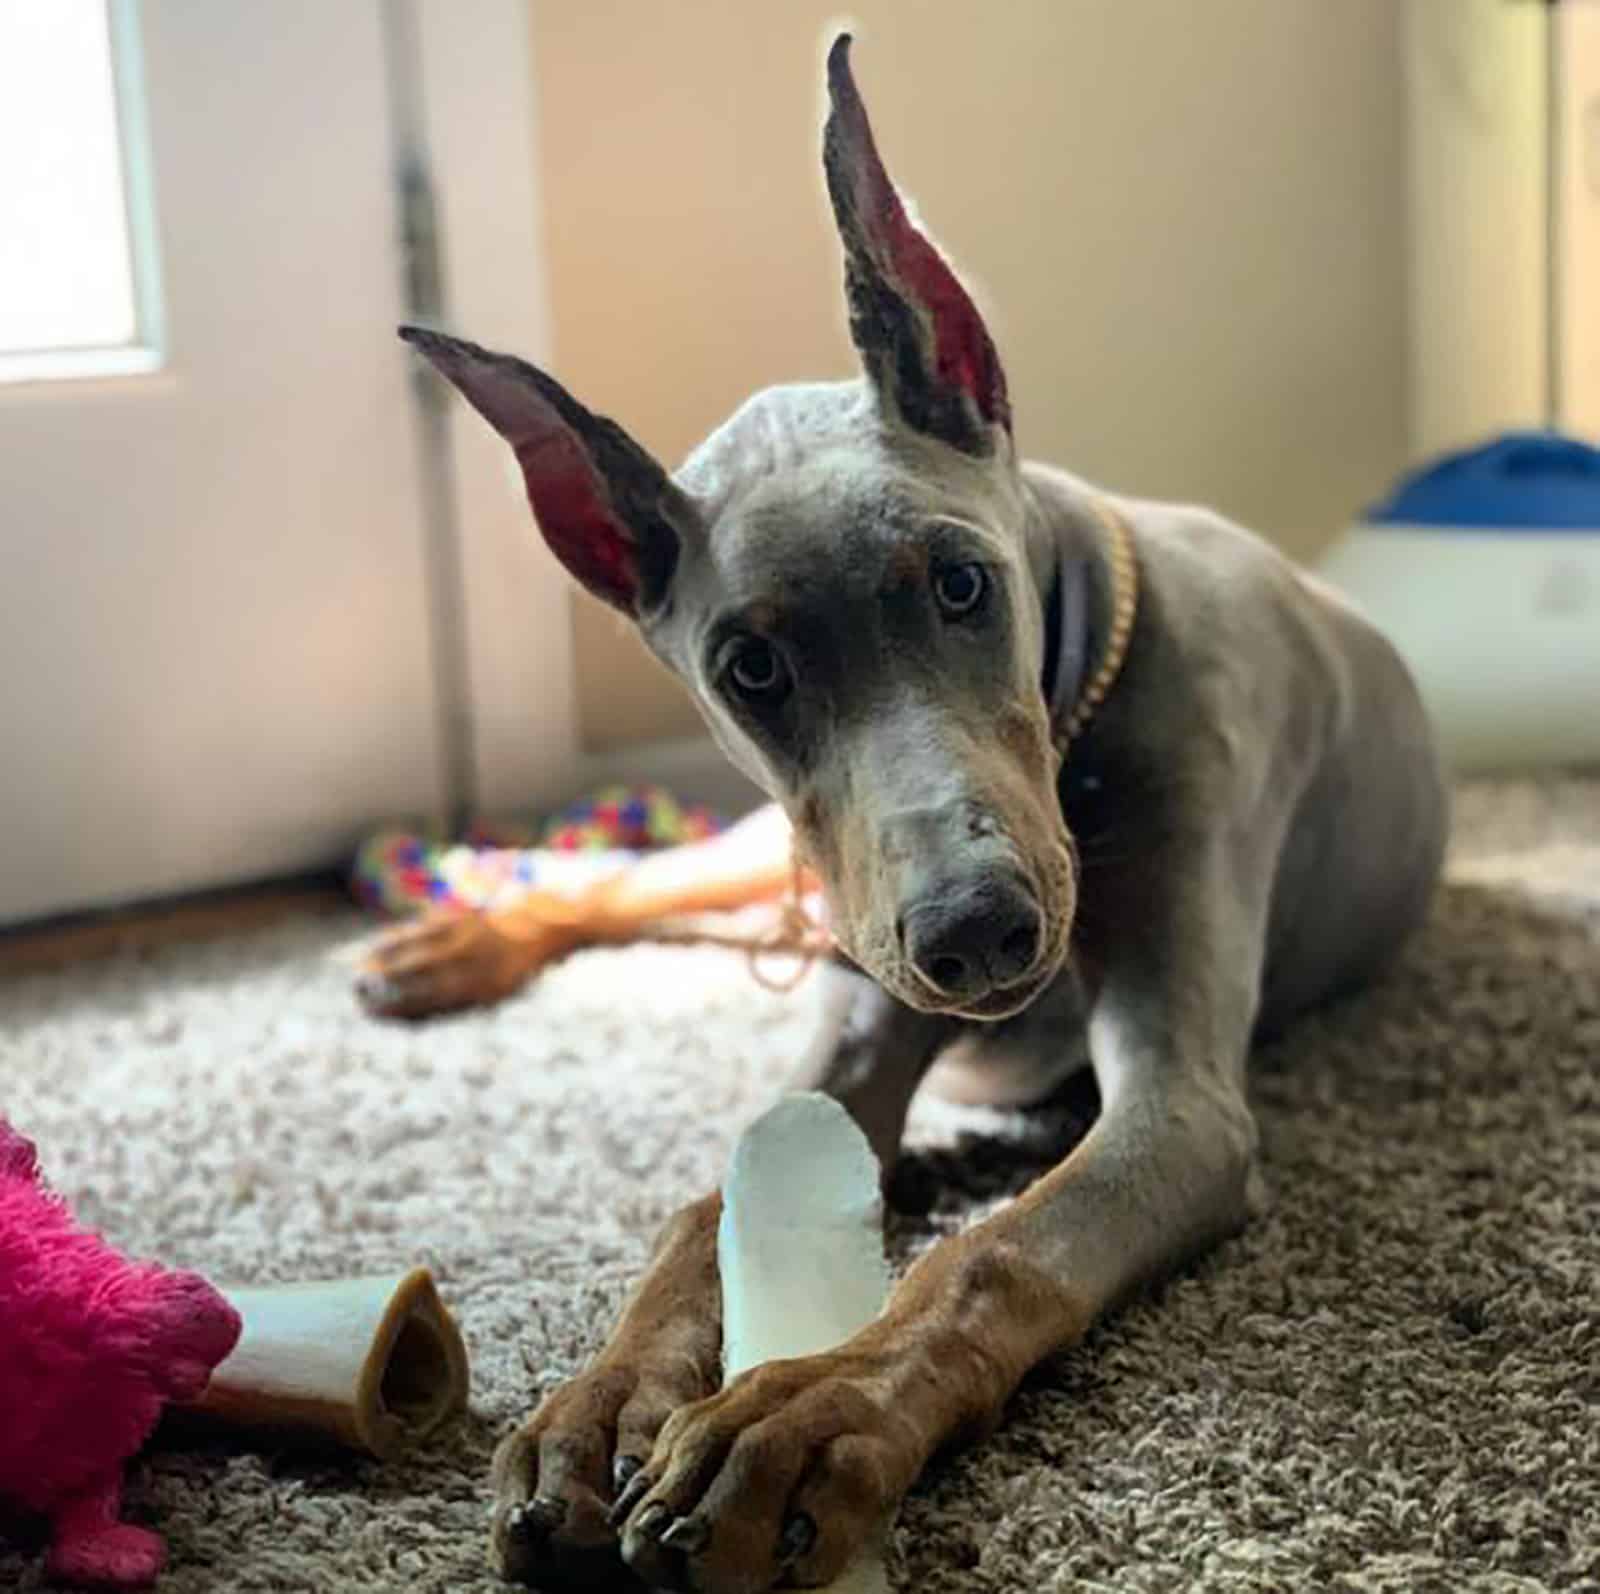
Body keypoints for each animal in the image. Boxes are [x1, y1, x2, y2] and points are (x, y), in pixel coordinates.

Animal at [390, 34, 1452, 1594]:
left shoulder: (1182, 1106)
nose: (975, 932)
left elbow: (993, 1247)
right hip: (782, 868)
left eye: (961, 583)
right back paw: (454, 935)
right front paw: (605, 1401)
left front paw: (806, 1412)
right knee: (654, 886)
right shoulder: (853, 1005)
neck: (1078, 709)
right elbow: (706, 1199)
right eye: (751, 668)